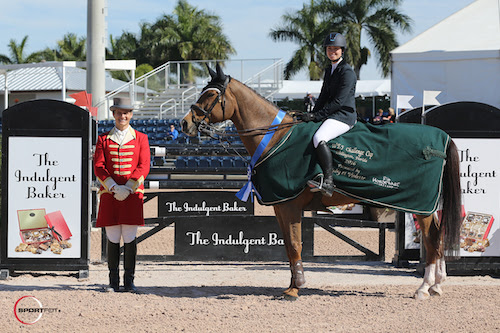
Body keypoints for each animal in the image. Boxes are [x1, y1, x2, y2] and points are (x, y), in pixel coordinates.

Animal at [179, 63, 460, 300]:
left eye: (209, 95)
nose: (184, 124)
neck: (274, 138)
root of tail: (442, 137)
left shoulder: (289, 204)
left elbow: (295, 245)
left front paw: (296, 289)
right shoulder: (281, 206)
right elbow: (289, 246)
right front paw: (291, 285)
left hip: (420, 206)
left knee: (431, 238)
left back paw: (424, 288)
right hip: (426, 206)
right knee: (437, 236)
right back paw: (436, 285)